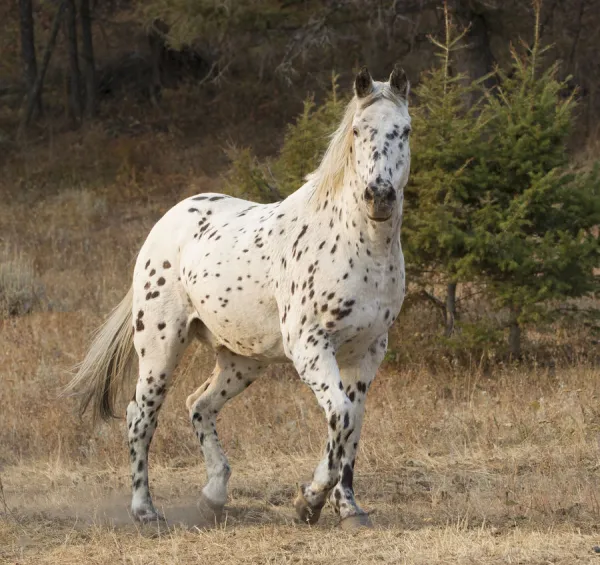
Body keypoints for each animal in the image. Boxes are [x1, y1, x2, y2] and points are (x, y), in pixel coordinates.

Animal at [65, 65, 412, 528]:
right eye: (358, 130)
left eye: (405, 130)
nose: (380, 196)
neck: (357, 245)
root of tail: (166, 222)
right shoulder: (310, 346)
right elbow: (339, 415)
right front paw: (309, 502)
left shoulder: (368, 351)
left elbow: (350, 426)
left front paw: (348, 509)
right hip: (160, 346)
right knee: (141, 415)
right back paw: (145, 511)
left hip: (242, 360)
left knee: (199, 404)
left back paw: (213, 496)